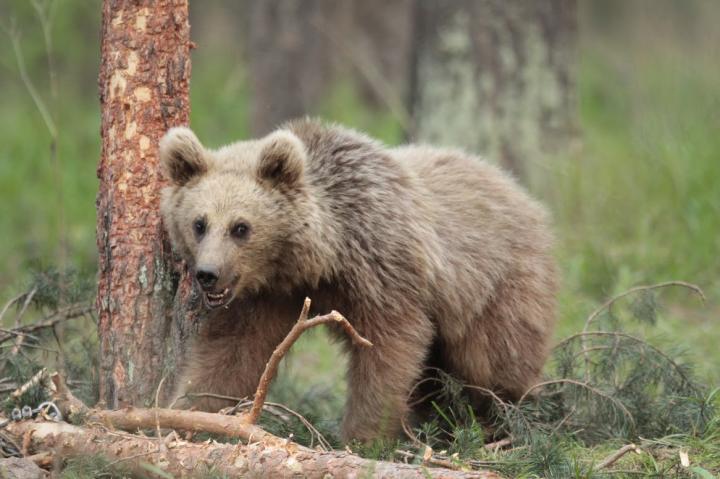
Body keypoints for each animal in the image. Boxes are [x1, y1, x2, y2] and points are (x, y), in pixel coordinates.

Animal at [159, 118, 557, 442]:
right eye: (199, 223)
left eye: (241, 227)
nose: (207, 274)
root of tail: (519, 191)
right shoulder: (264, 297)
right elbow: (230, 355)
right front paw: (184, 415)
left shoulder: (382, 270)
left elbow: (386, 351)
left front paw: (364, 438)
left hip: (495, 286)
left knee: (495, 361)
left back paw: (509, 421)